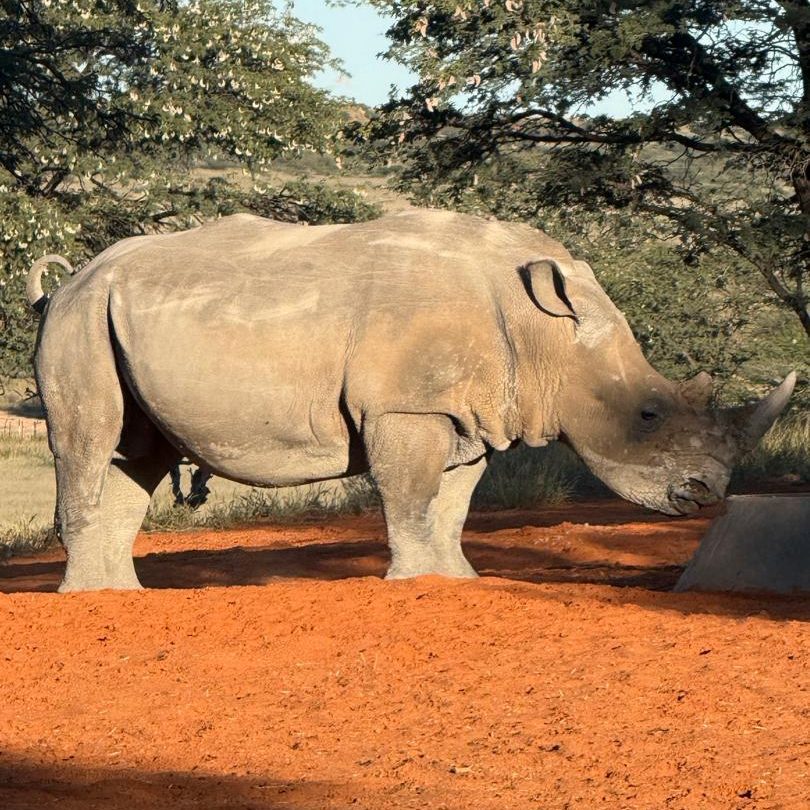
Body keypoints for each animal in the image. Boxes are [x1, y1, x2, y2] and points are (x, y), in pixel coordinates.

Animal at [27, 209, 794, 592]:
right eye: (648, 414)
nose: (706, 494)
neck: (545, 333)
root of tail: (67, 281)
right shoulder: (405, 405)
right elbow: (411, 495)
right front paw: (414, 582)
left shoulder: (468, 414)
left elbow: (450, 504)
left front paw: (458, 580)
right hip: (79, 317)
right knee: (89, 441)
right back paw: (88, 601)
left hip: (118, 315)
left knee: (138, 453)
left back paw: (119, 597)